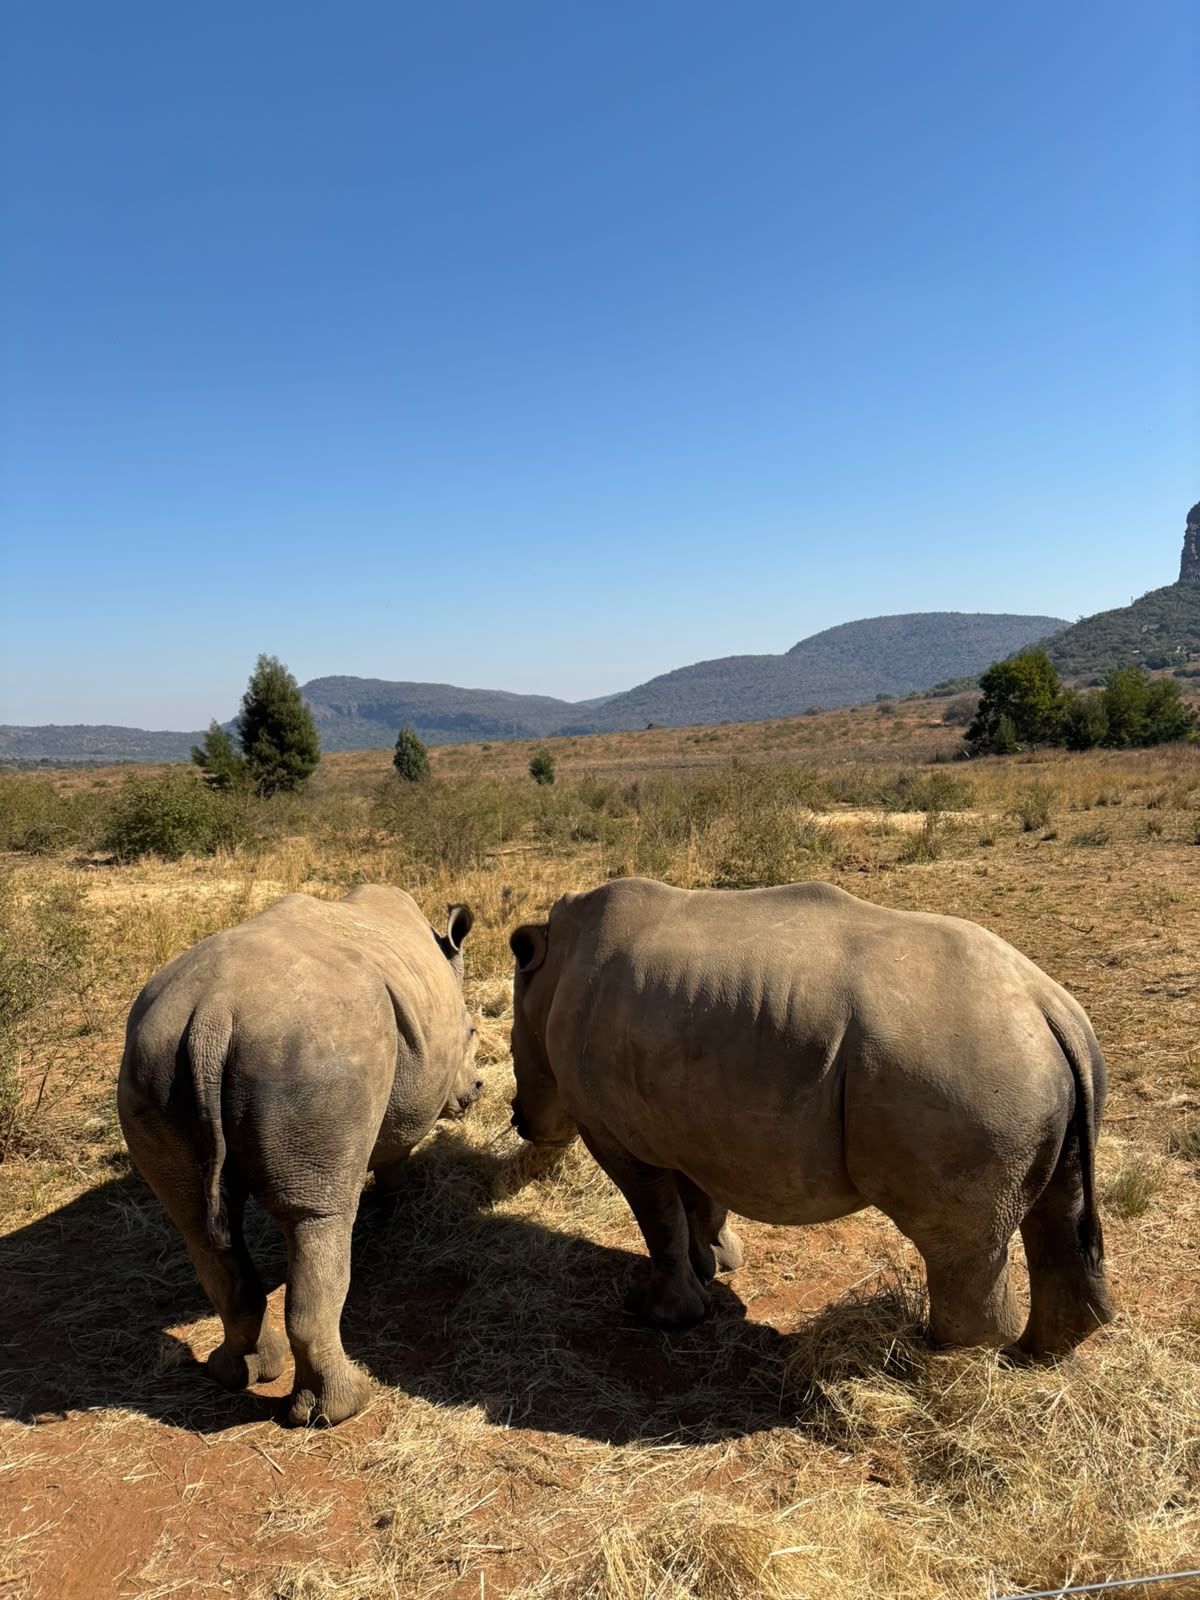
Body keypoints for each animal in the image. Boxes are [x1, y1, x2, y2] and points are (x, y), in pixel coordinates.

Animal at [118, 885, 481, 1425]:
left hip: (151, 1061)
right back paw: (339, 1409)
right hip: (314, 1058)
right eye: (473, 1032)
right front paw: (399, 1203)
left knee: (199, 1228)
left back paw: (237, 1374)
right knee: (319, 1219)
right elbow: (396, 1149)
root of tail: (211, 1016)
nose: (477, 1090)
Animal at [509, 877, 1115, 1358]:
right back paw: (1035, 1354)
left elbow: (657, 1216)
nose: (519, 1122)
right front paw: (718, 1265)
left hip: (970, 1073)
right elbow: (698, 1200)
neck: (552, 971)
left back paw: (931, 1354)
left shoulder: (615, 1132)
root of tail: (1048, 1005)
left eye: (515, 1051)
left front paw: (661, 1315)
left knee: (958, 1247)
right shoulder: (688, 1115)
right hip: (1026, 1067)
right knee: (1056, 1206)